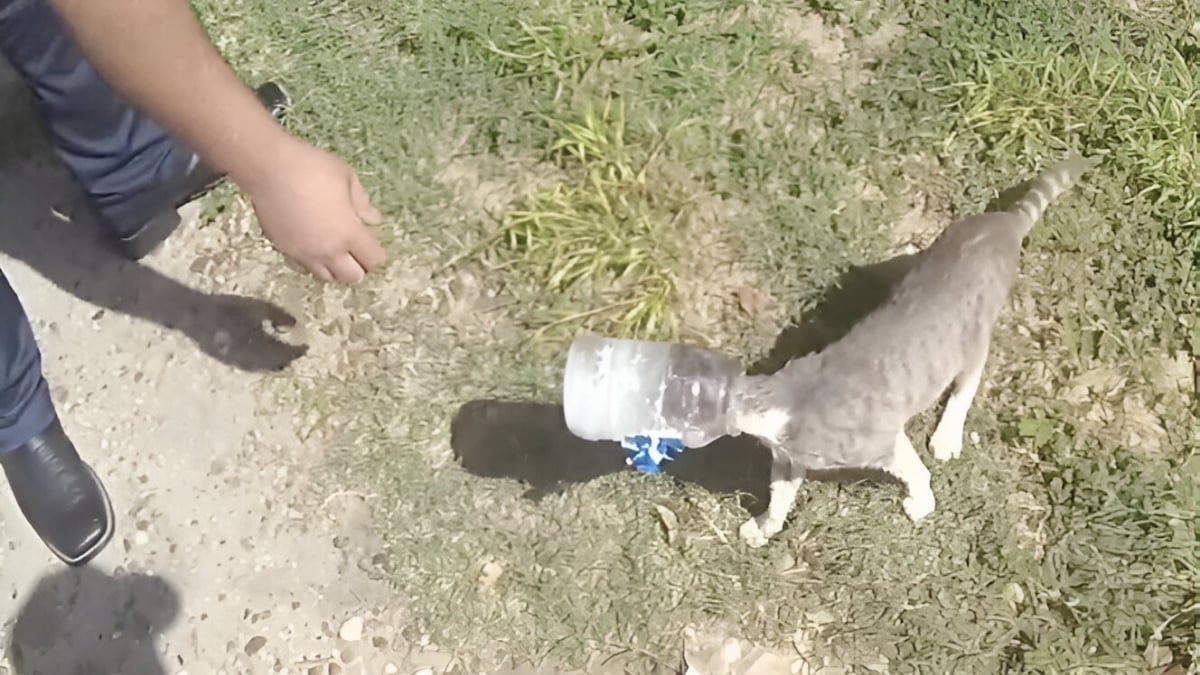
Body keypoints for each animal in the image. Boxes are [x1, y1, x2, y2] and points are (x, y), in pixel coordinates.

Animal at [724, 153, 1099, 547]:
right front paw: (763, 527)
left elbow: (914, 470)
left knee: (969, 378)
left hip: (974, 332)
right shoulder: (789, 455)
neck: (776, 401)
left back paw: (948, 434)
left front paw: (921, 502)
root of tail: (1001, 222)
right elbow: (781, 493)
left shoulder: (881, 438)